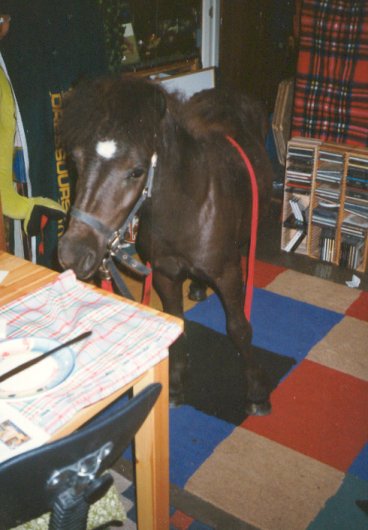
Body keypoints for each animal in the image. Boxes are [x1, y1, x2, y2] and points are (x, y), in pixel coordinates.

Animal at [58, 76, 274, 414]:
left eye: (136, 171)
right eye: (76, 160)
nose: (72, 253)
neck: (188, 209)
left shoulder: (227, 274)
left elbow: (239, 329)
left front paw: (256, 392)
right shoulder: (164, 274)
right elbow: (177, 324)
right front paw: (175, 387)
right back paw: (197, 287)